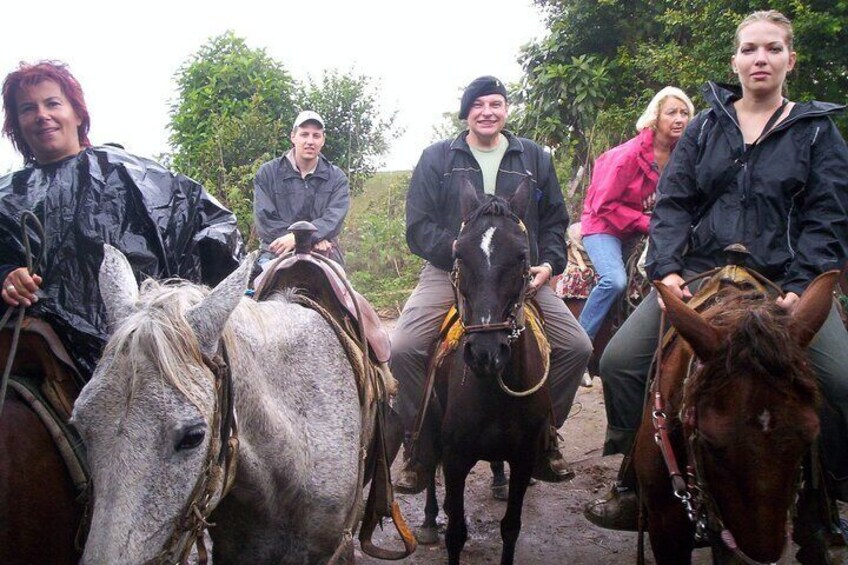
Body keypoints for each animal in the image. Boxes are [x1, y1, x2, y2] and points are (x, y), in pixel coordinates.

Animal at [416, 181, 548, 564]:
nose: (485, 353)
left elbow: (511, 527)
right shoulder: (456, 457)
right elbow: (456, 533)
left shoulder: (523, 457)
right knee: (430, 465)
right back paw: (429, 519)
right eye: (459, 254)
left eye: (522, 255)